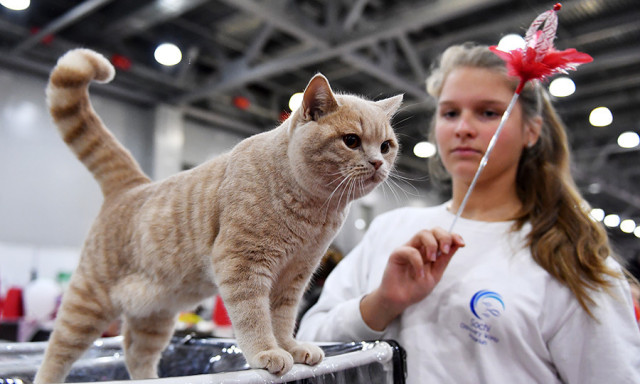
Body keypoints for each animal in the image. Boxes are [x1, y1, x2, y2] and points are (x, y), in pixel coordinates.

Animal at [33, 48, 400, 384]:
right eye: (351, 140)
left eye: (386, 146)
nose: (377, 163)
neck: (314, 211)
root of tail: (133, 185)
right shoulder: (243, 263)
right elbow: (254, 316)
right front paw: (267, 352)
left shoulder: (294, 277)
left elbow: (282, 319)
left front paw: (291, 348)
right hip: (87, 302)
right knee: (56, 353)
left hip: (155, 314)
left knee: (135, 353)